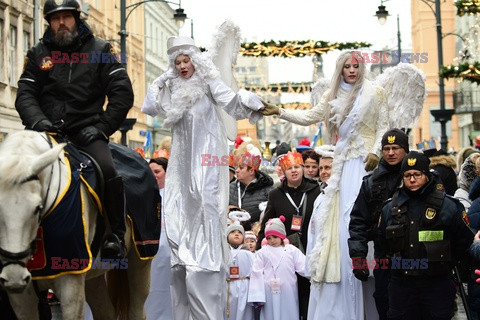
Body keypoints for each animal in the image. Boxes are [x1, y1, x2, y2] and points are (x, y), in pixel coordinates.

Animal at [0, 131, 152, 320]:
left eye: (38, 208)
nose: (14, 276)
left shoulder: (70, 283)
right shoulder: (22, 298)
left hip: (140, 261)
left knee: (137, 310)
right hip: (93, 275)